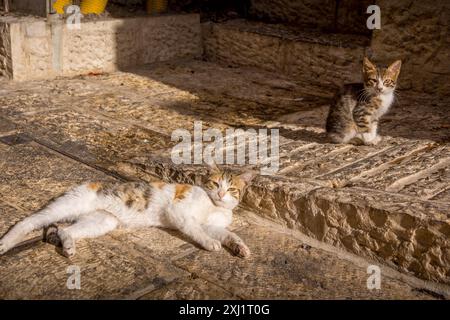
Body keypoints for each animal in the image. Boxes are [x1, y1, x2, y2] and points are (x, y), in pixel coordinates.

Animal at [0, 164, 255, 258]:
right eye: (215, 184)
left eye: (232, 188)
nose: (221, 194)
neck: (214, 207)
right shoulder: (179, 211)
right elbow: (195, 229)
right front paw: (210, 243)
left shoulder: (213, 224)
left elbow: (228, 233)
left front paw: (240, 247)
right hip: (67, 205)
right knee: (28, 222)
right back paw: (5, 243)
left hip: (103, 221)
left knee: (65, 230)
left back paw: (69, 246)